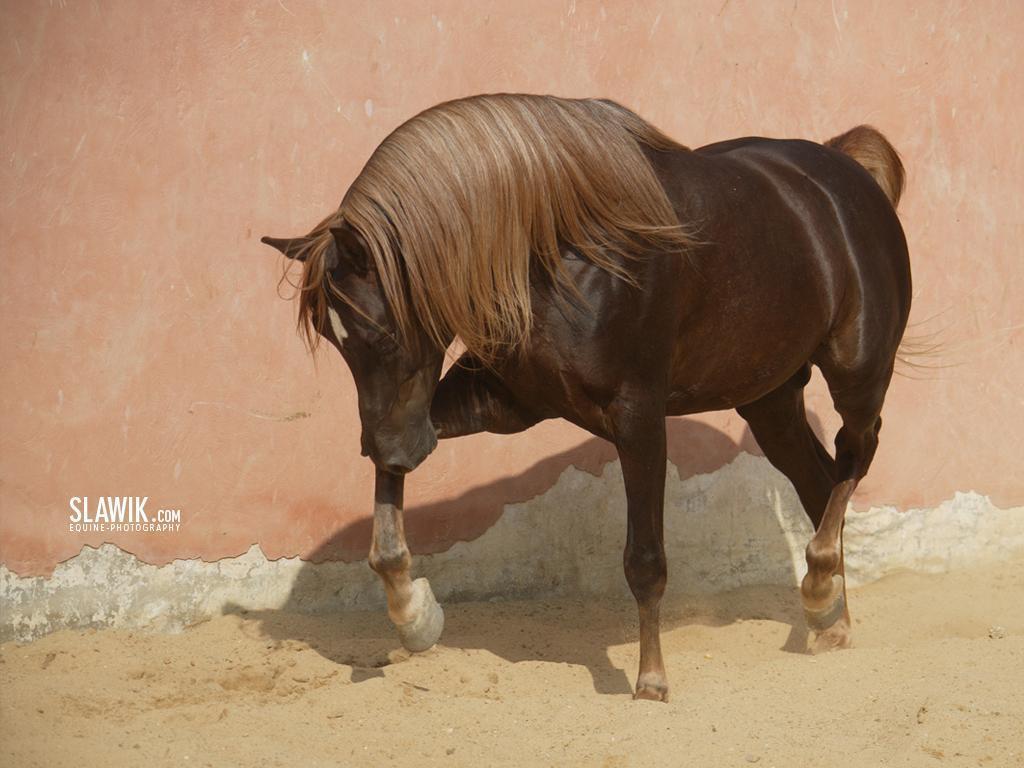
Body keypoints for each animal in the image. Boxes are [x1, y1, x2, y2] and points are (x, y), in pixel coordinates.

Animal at [261, 93, 910, 702]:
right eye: (331, 337)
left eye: (382, 329)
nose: (392, 447)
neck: (560, 249)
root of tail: (844, 171)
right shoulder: (503, 402)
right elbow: (388, 524)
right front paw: (414, 616)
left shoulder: (639, 415)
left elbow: (644, 558)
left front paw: (651, 681)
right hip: (768, 396)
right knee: (819, 481)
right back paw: (831, 619)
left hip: (857, 371)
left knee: (856, 454)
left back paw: (820, 586)